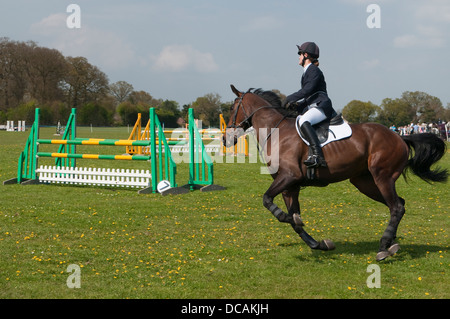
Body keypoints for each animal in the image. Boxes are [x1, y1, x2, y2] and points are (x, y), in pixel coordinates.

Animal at [223, 85, 448, 262]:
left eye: (232, 108)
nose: (226, 139)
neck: (276, 131)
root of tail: (400, 137)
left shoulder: (289, 177)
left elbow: (268, 200)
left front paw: (287, 217)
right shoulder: (290, 187)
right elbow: (295, 221)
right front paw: (320, 244)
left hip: (382, 177)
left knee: (396, 207)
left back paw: (383, 247)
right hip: (364, 182)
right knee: (399, 204)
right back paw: (391, 243)